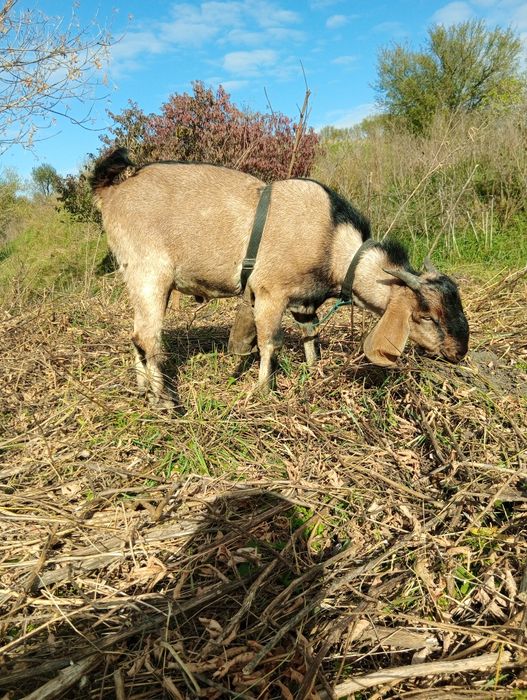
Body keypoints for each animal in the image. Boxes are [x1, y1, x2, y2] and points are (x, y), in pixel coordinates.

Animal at [90, 148, 469, 405]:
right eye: (426, 316)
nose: (459, 352)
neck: (332, 240)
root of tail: (111, 190)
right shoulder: (270, 293)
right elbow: (270, 342)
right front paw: (263, 390)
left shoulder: (304, 302)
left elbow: (310, 335)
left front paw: (314, 371)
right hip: (150, 273)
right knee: (148, 337)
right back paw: (166, 401)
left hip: (138, 280)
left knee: (135, 336)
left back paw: (143, 388)